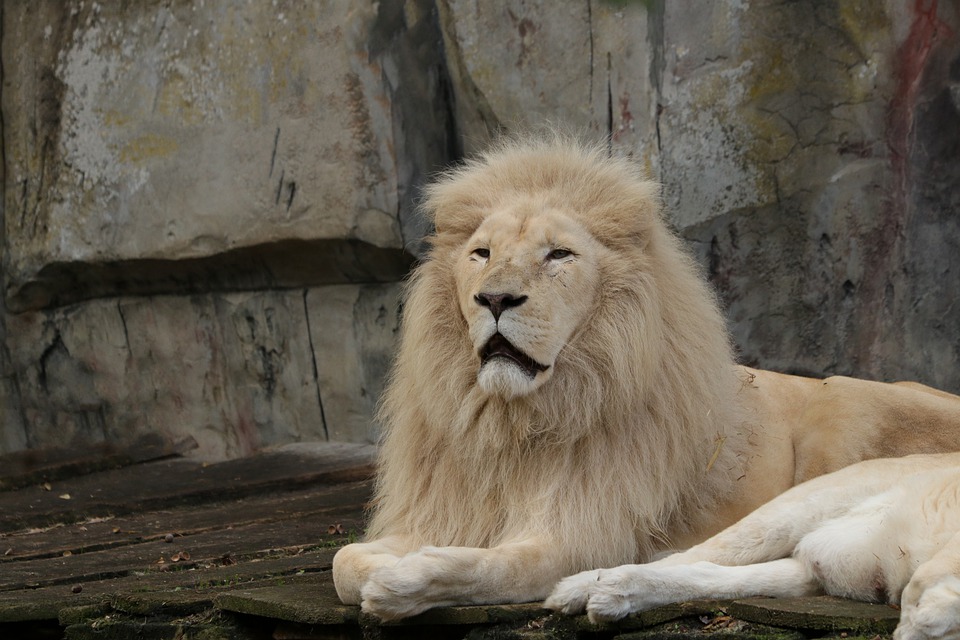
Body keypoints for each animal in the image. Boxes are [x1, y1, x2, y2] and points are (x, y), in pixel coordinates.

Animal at [330, 134, 960, 620]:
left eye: (559, 255)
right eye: (481, 254)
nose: (496, 299)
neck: (516, 421)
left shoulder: (584, 533)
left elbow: (495, 566)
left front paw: (407, 581)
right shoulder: (440, 510)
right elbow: (344, 563)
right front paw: (385, 568)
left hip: (845, 417)